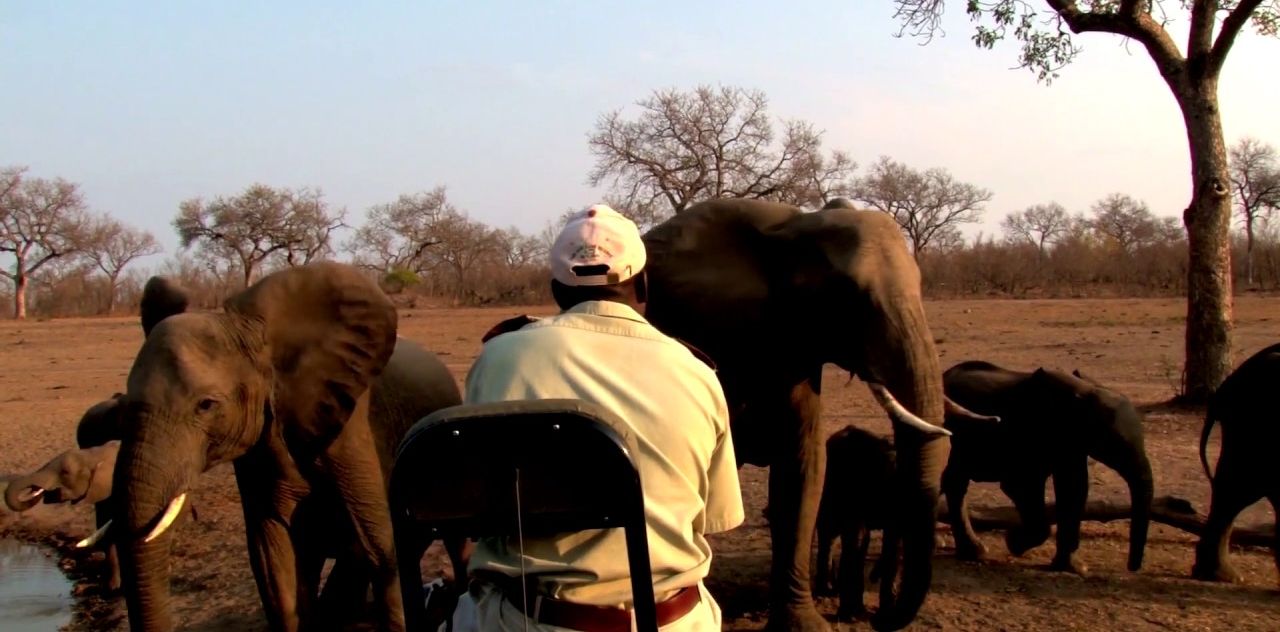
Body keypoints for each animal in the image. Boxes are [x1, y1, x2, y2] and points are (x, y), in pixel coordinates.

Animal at [640, 198, 952, 632]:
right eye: (848, 296)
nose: (878, 619)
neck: (797, 228)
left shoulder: (797, 348)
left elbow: (804, 466)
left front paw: (803, 624)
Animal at [936, 358, 1157, 575]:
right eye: (1114, 444)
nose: (1132, 568)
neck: (1084, 392)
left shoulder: (1072, 443)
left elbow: (1074, 489)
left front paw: (1072, 568)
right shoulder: (1028, 432)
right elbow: (1020, 485)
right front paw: (1013, 541)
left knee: (953, 485)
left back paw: (972, 552)